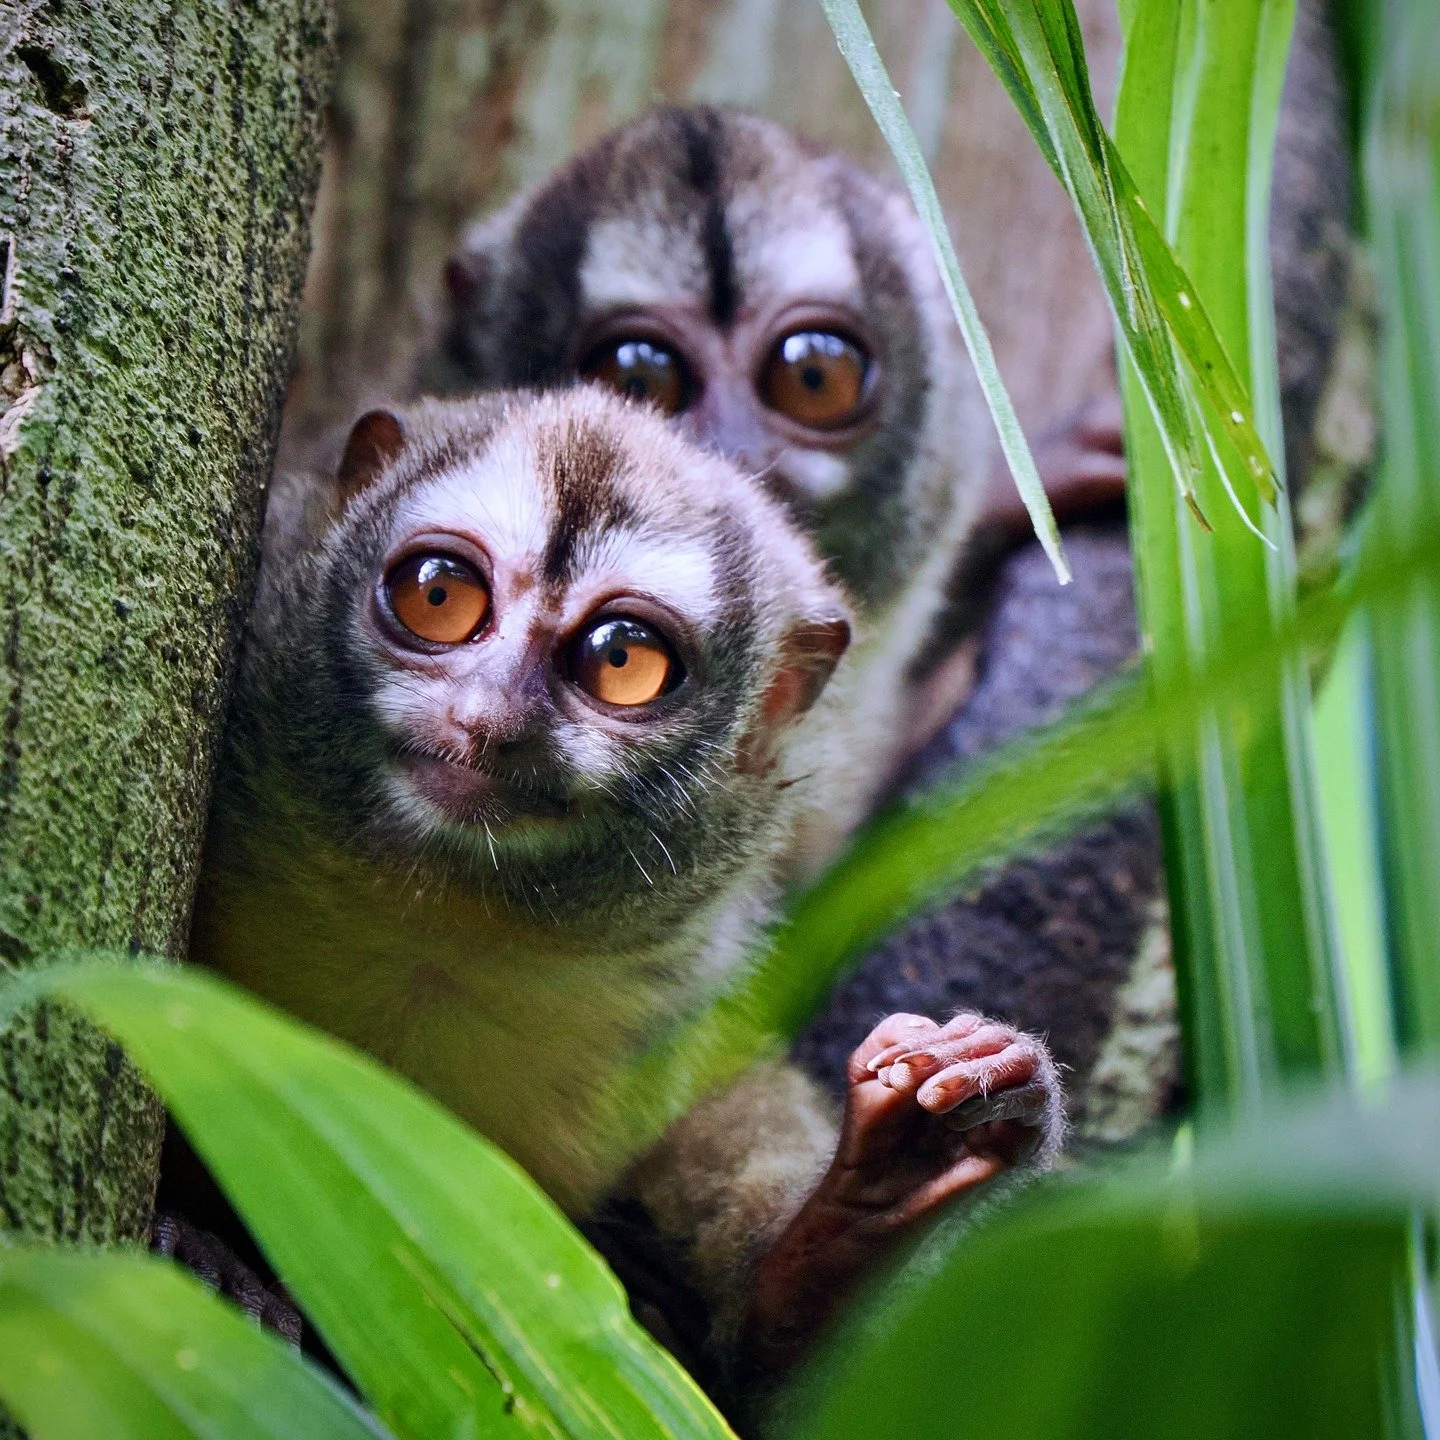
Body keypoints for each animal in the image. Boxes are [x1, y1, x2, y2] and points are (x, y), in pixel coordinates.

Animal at [184, 387, 1065, 1392]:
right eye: (439, 595)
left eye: (623, 660)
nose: (488, 722)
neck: (437, 921)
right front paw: (202, 1259)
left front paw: (868, 1216)